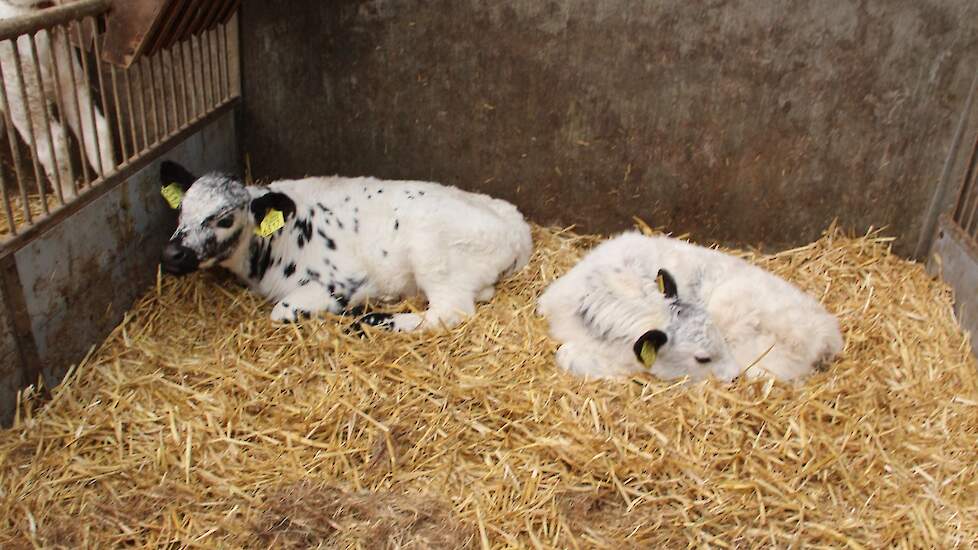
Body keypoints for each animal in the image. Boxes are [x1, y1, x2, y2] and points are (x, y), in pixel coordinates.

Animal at [158, 160, 532, 332]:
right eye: (181, 209)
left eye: (224, 219)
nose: (172, 254)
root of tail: (517, 227)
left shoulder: (339, 281)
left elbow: (282, 311)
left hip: (432, 257)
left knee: (448, 312)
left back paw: (371, 320)